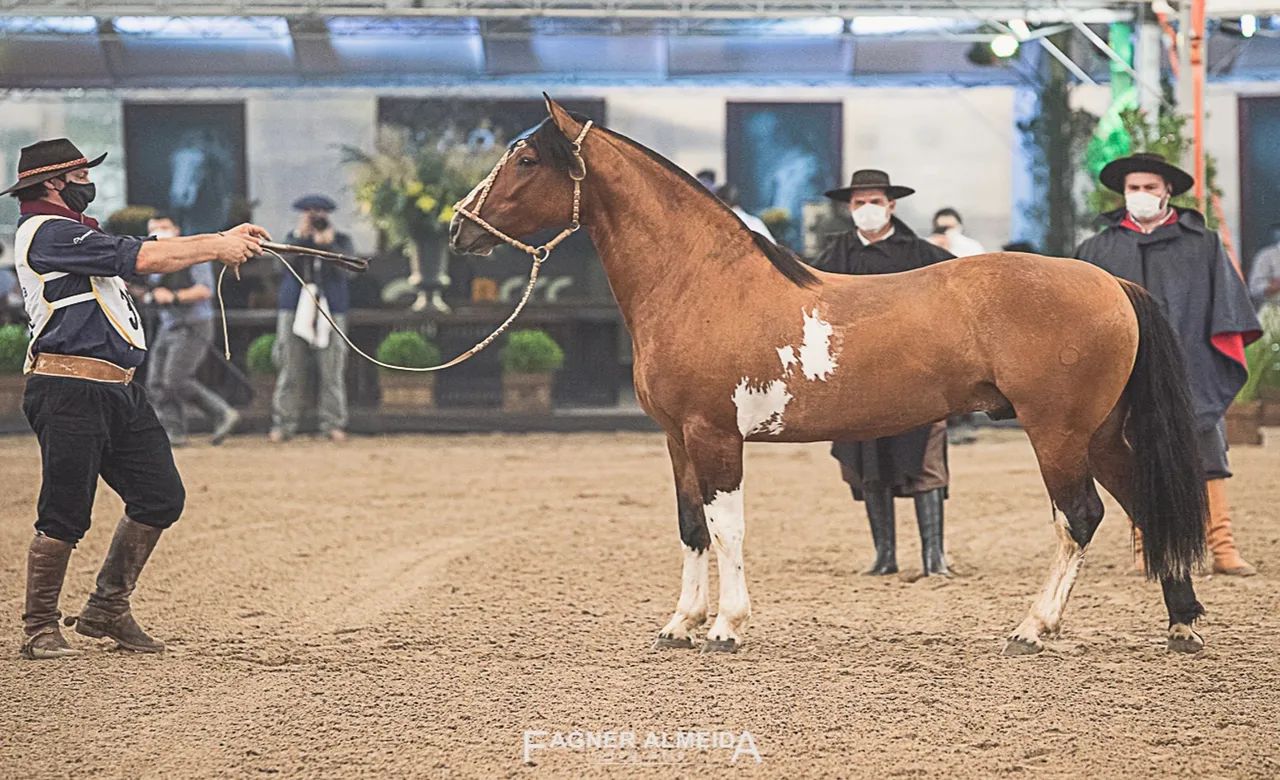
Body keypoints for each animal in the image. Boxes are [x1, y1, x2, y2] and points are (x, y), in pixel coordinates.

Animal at [449, 96, 1209, 656]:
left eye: (525, 158)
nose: (459, 228)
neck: (699, 282)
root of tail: (1111, 283)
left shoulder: (716, 436)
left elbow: (727, 527)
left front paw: (726, 627)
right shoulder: (675, 438)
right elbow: (692, 527)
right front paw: (680, 624)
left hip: (1057, 432)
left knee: (1080, 517)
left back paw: (1034, 627)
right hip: (1101, 433)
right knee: (1142, 504)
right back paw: (1182, 623)